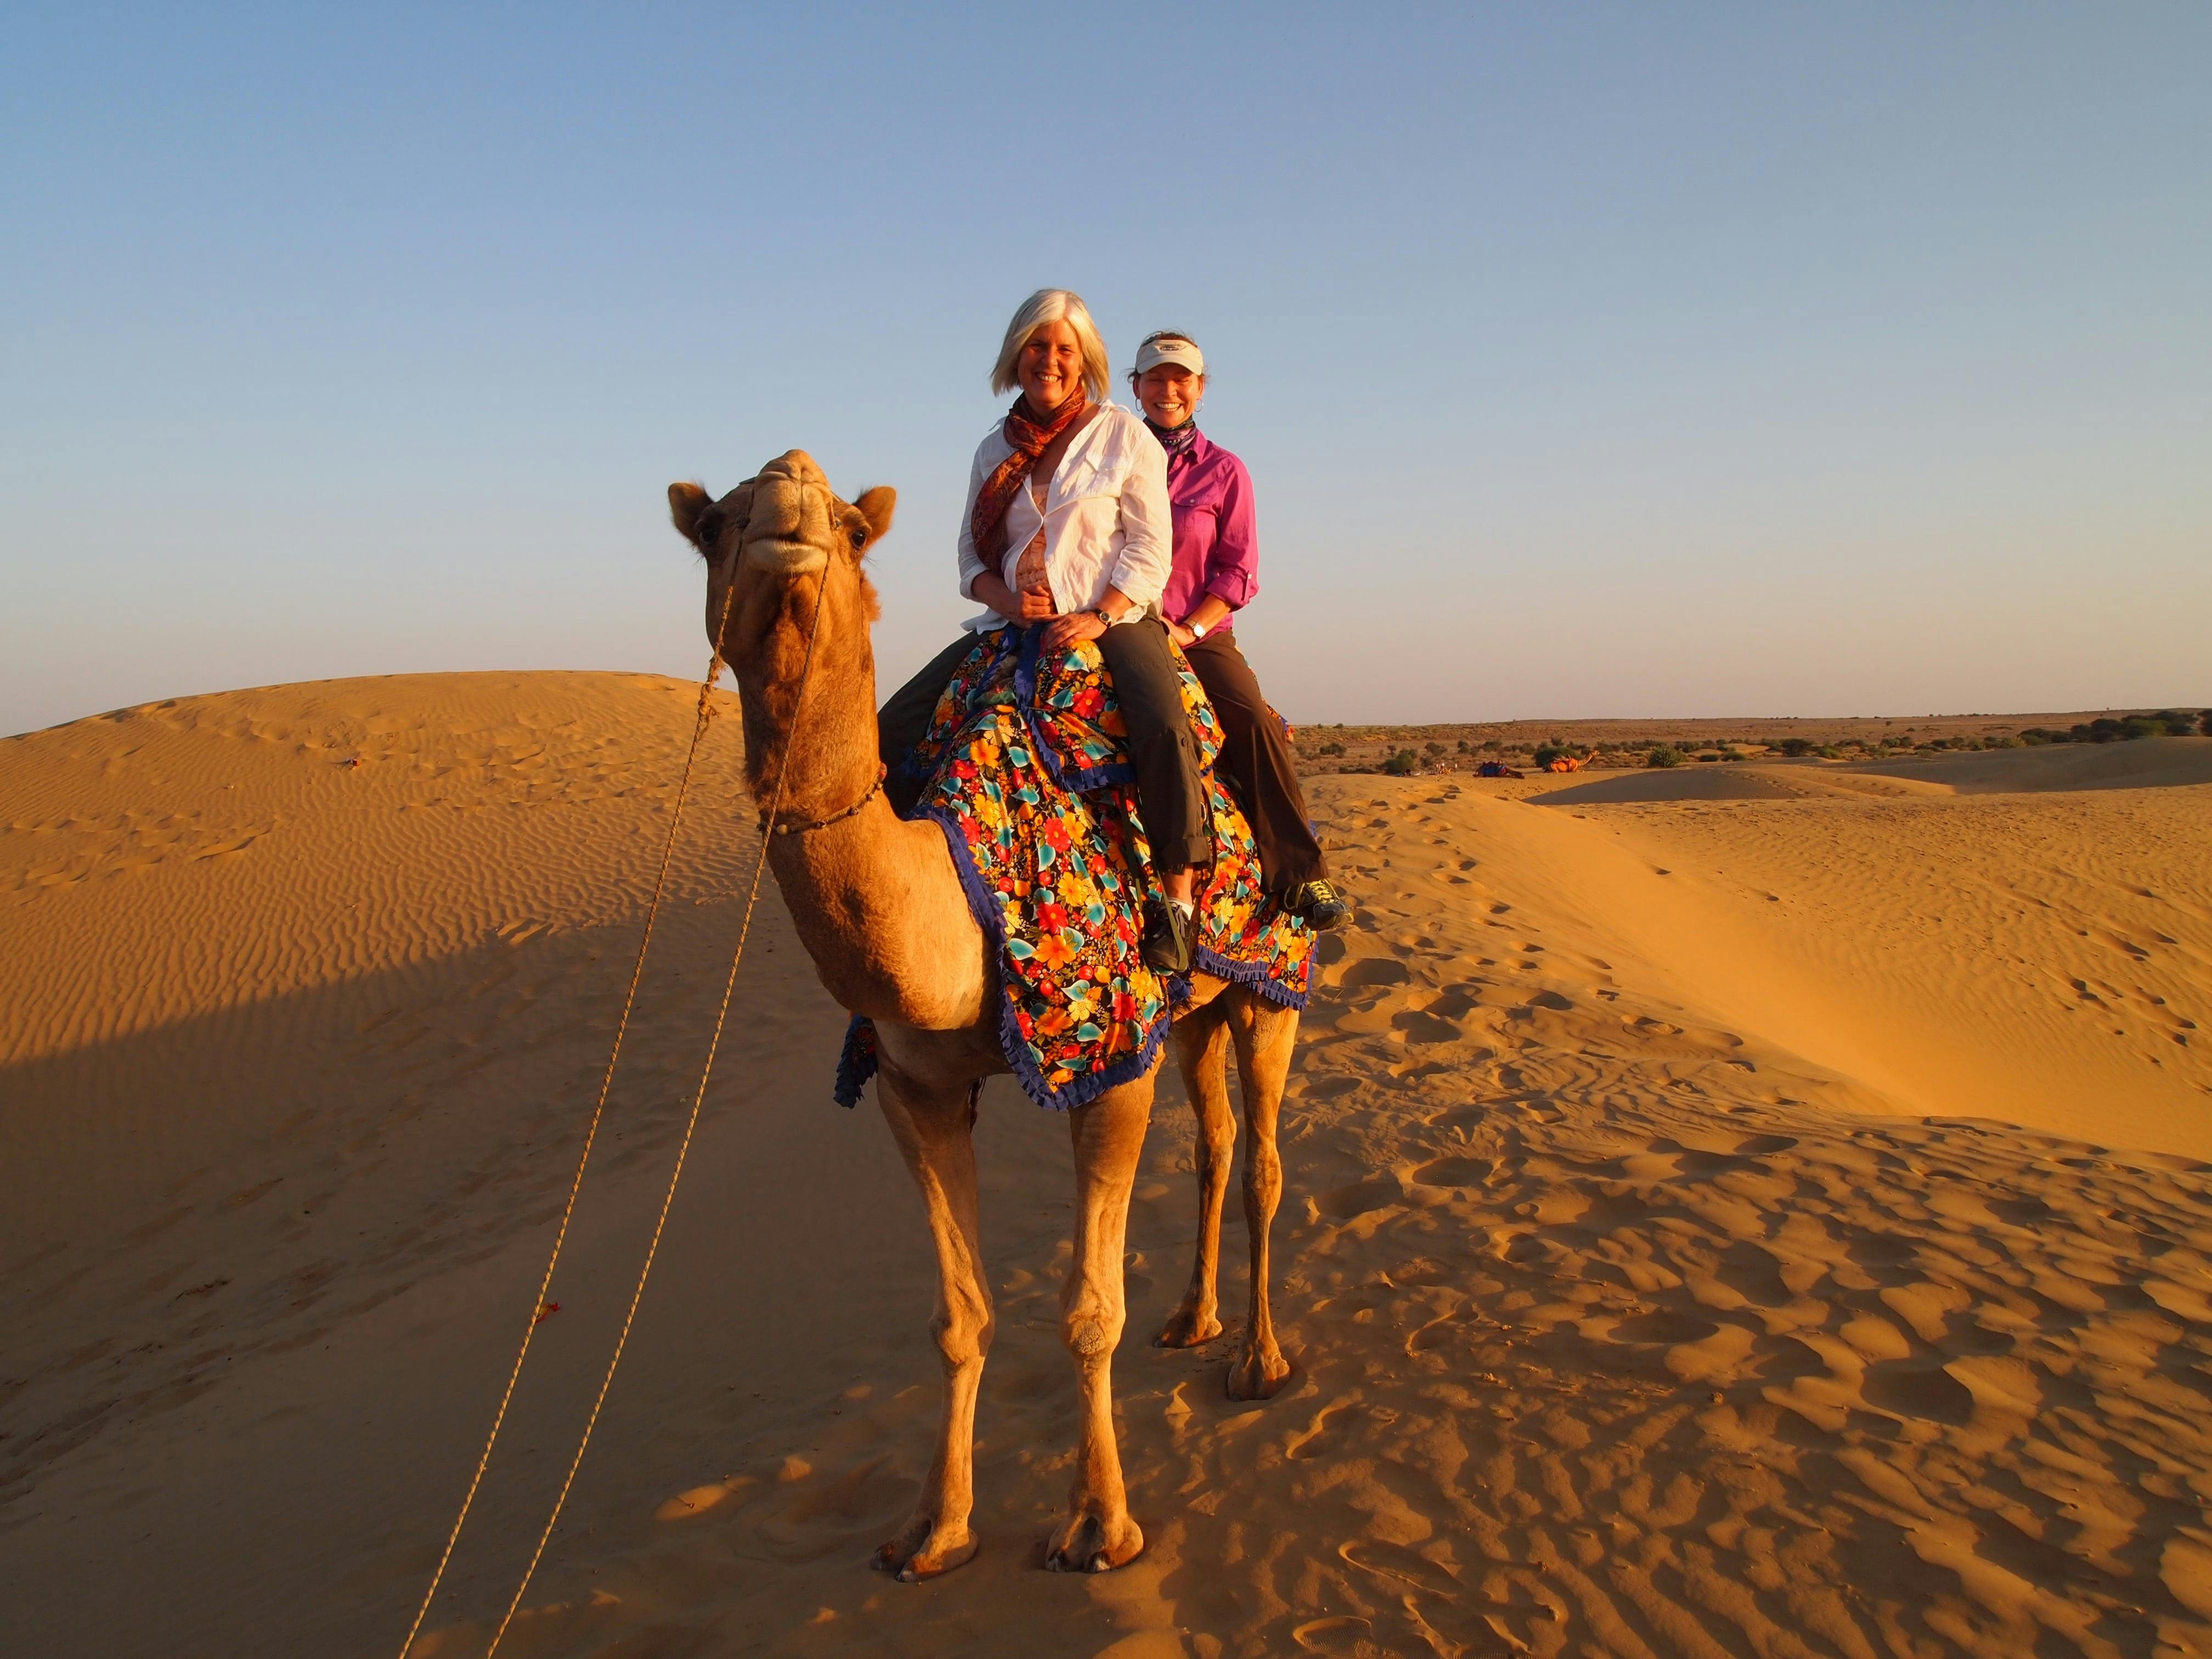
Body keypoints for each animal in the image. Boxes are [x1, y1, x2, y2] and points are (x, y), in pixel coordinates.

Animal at [665, 450, 1302, 1580]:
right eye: (715, 527)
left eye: (850, 526)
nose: (791, 499)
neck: (957, 905)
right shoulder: (914, 1086)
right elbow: (958, 1317)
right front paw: (935, 1528)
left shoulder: (1109, 1061)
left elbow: (1089, 1311)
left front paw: (1098, 1526)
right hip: (1192, 1010)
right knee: (1218, 1142)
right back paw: (1193, 1320)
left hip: (1272, 987)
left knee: (1264, 1157)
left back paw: (1259, 1360)